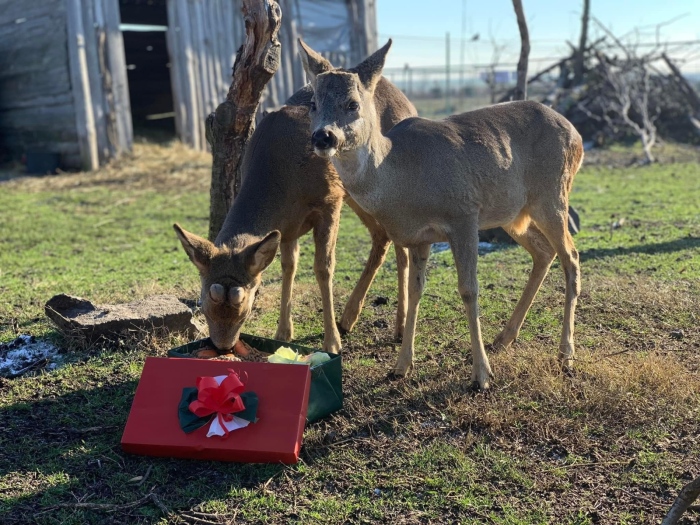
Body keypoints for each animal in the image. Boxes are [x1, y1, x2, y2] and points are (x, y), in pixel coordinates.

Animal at [173, 71, 418, 354]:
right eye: (203, 303)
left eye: (246, 306)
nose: (223, 347)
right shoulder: (287, 227)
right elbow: (288, 266)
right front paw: (283, 333)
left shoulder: (330, 199)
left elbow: (323, 267)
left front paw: (332, 343)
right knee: (382, 235)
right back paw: (349, 319)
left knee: (400, 245)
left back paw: (398, 327)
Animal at [300, 40, 584, 388]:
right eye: (313, 103)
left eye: (352, 103)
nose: (322, 136)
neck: (402, 177)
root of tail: (577, 134)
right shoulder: (418, 237)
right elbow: (415, 290)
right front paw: (400, 366)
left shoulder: (464, 213)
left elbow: (469, 289)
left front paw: (481, 375)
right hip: (513, 213)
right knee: (544, 252)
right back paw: (505, 337)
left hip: (552, 194)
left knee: (571, 256)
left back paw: (566, 355)